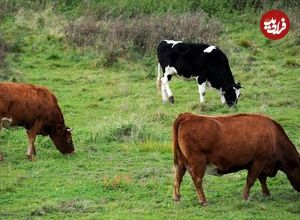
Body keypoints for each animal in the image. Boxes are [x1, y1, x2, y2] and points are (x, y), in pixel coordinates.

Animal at [172, 112, 300, 205]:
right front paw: (245, 197)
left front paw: (266, 193)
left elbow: (262, 179)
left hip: (181, 162)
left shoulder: (261, 163)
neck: (274, 135)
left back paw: (176, 198)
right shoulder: (259, 160)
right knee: (197, 180)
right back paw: (203, 200)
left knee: (178, 177)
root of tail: (188, 116)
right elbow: (251, 180)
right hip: (198, 162)